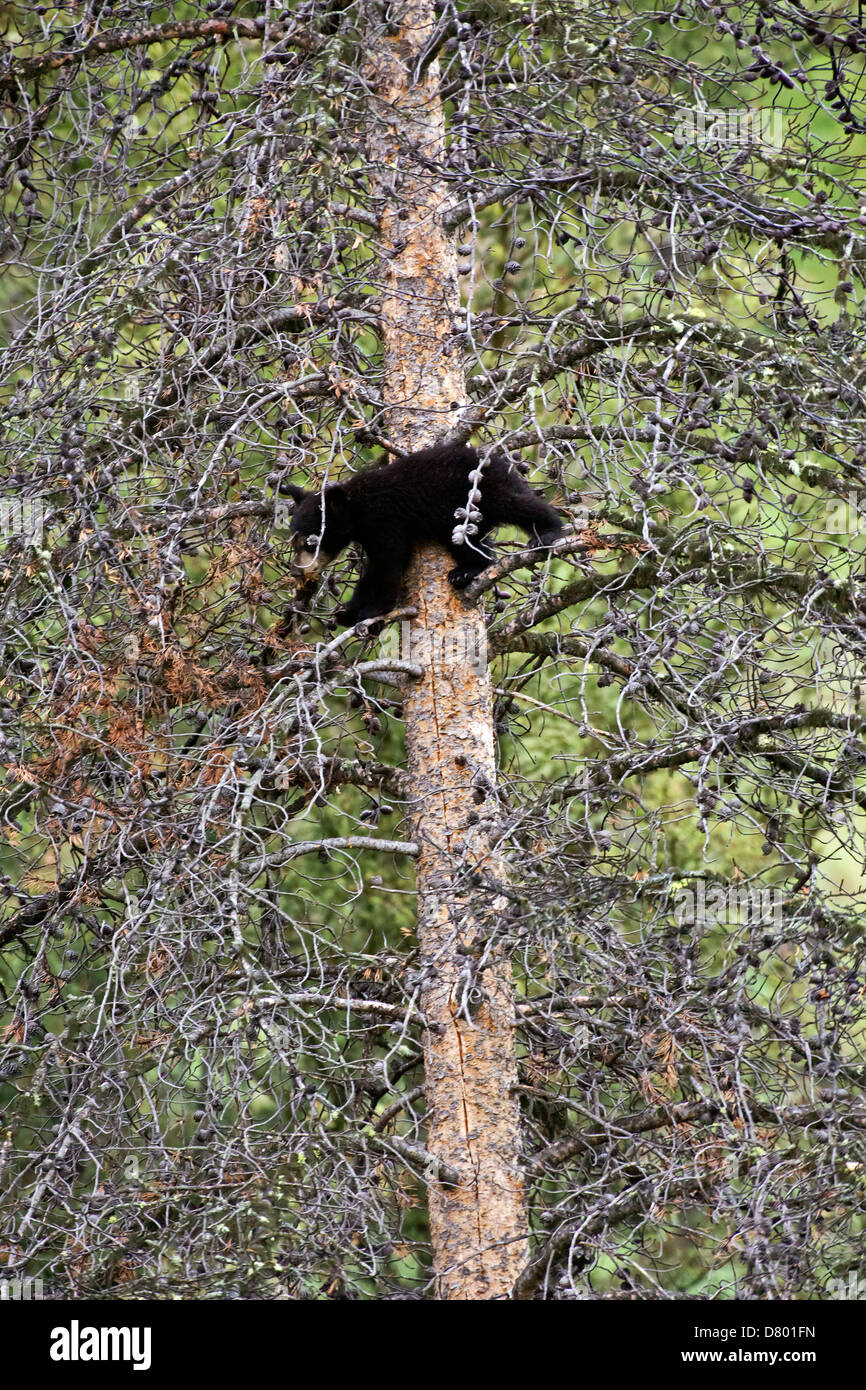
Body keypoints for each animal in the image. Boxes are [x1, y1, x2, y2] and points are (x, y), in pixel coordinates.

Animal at [284, 442, 564, 627]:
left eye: (310, 542)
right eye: (294, 542)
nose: (296, 571)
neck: (357, 508)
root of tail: (501, 462)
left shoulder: (384, 520)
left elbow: (388, 562)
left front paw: (373, 609)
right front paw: (347, 612)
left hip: (484, 492)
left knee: (518, 505)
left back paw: (548, 533)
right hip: (462, 519)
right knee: (472, 543)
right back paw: (467, 571)